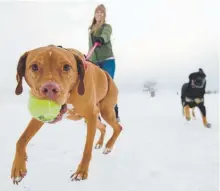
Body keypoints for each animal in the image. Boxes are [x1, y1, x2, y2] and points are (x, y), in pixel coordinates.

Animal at [11, 44, 122, 184]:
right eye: (34, 66)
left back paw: (108, 146)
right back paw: (100, 143)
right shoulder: (40, 118)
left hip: (105, 111)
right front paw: (18, 167)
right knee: (103, 127)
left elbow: (87, 149)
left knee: (118, 127)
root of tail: (108, 76)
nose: (50, 89)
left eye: (67, 67)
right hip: (90, 119)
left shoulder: (91, 114)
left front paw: (81, 172)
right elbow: (21, 140)